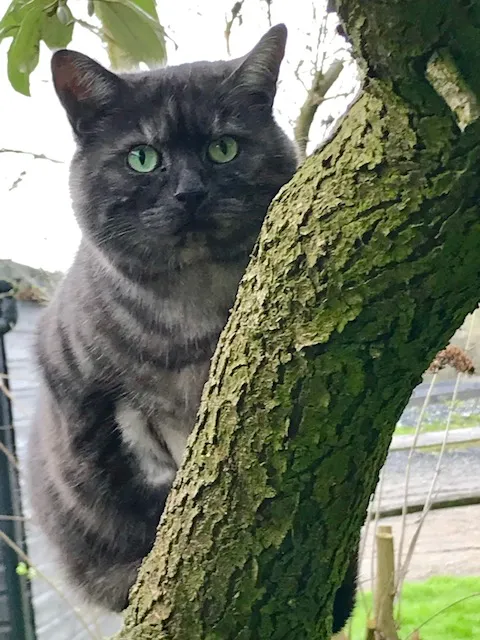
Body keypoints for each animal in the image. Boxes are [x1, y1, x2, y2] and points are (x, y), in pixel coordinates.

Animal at [27, 24, 356, 633]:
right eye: (142, 157)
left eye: (223, 147)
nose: (190, 193)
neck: (192, 315)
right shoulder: (86, 402)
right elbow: (127, 493)